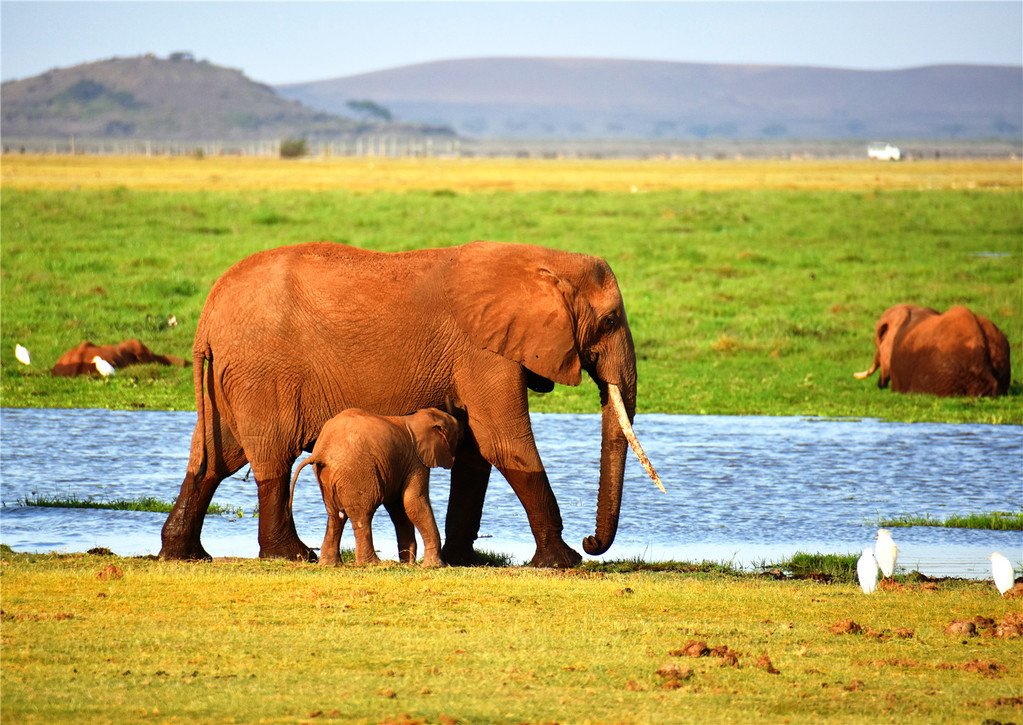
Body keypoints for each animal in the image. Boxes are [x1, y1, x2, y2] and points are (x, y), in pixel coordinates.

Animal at [290, 406, 462, 564]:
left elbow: (399, 508)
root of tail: (321, 452)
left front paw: (408, 564)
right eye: (458, 437)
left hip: (327, 476)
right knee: (363, 513)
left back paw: (330, 564)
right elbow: (413, 502)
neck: (418, 418)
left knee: (335, 515)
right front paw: (435, 566)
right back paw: (373, 563)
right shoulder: (416, 461)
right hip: (356, 471)